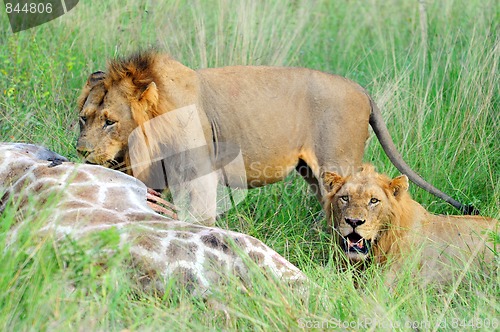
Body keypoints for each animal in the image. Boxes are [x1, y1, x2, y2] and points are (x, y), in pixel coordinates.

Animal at [76, 50, 470, 224]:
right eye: (83, 119)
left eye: (110, 121)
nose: (81, 152)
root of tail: (362, 90)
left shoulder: (199, 175)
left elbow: (196, 217)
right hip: (313, 173)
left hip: (338, 164)